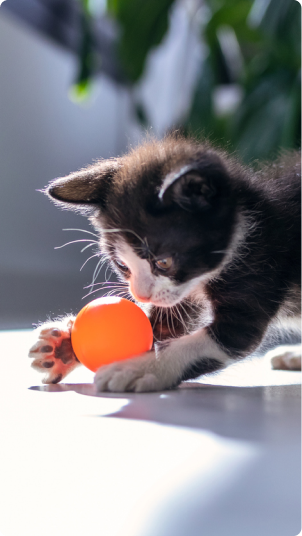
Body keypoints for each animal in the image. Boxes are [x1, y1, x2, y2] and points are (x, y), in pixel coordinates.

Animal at [28, 136, 302, 392]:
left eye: (163, 262)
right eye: (122, 265)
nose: (141, 295)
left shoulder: (262, 266)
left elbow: (213, 342)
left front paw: (140, 368)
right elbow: (159, 328)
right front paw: (63, 349)